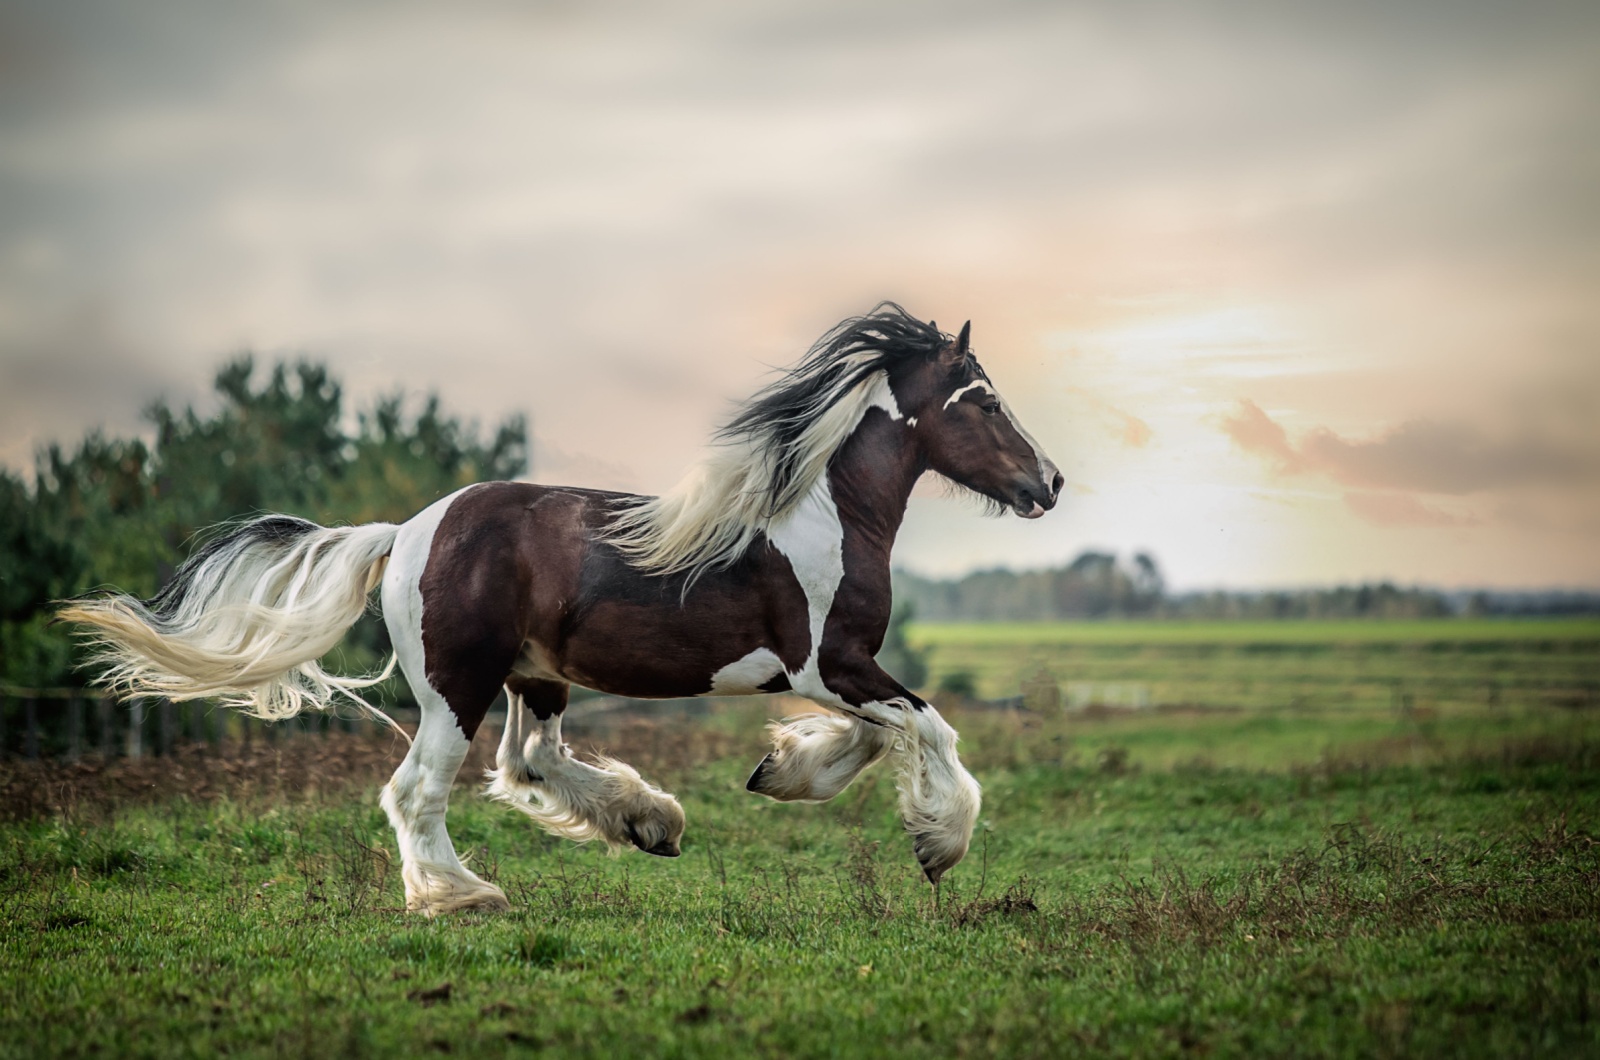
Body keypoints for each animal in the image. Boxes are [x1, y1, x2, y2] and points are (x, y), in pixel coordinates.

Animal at [62, 305, 1062, 915]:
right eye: (982, 399)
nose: (1048, 482)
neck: (824, 513)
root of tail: (406, 530)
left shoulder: (829, 672)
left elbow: (872, 735)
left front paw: (780, 771)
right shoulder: (829, 661)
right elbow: (927, 725)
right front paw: (938, 844)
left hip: (533, 677)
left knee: (527, 761)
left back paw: (650, 823)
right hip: (456, 687)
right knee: (420, 787)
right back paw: (463, 895)